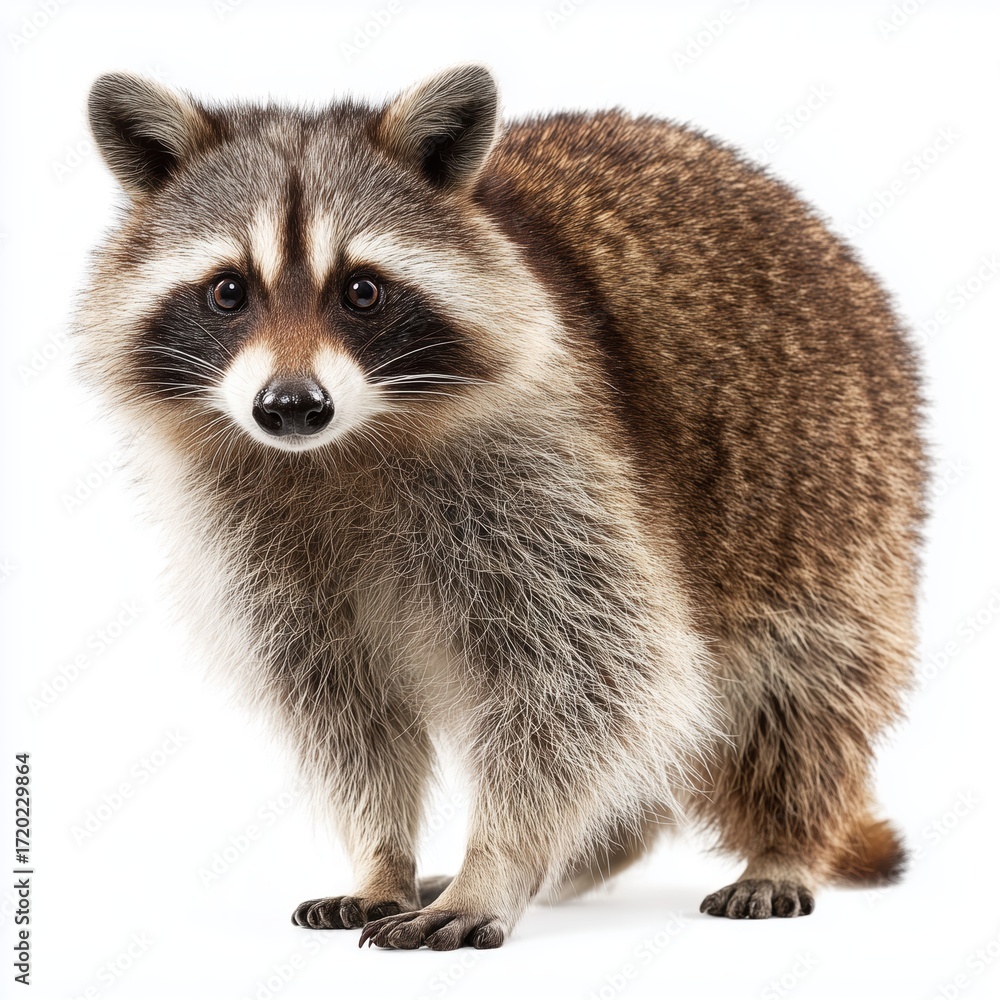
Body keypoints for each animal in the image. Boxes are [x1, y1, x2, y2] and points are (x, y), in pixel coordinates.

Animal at [77, 65, 925, 950]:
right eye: (228, 292)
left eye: (362, 291)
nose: (291, 406)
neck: (339, 450)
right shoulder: (250, 532)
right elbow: (345, 708)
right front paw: (382, 856)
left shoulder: (550, 466)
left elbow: (587, 675)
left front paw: (497, 862)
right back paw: (594, 851)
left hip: (832, 493)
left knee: (803, 686)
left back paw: (784, 842)